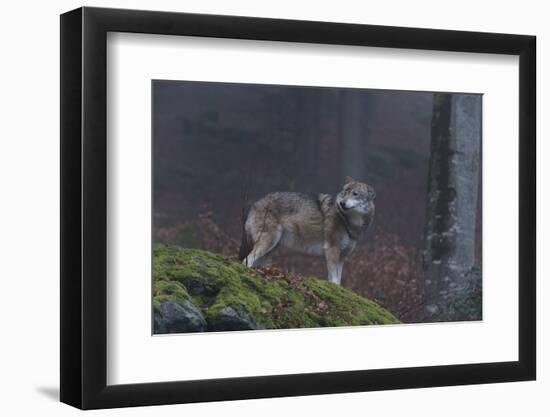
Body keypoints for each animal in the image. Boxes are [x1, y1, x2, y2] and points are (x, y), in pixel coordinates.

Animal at [239, 177, 378, 284]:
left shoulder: (342, 257)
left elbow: (338, 280)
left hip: (270, 250)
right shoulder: (332, 250)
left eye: (355, 194)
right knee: (247, 260)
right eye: (345, 192)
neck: (347, 221)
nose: (342, 203)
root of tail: (255, 204)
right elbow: (333, 280)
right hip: (268, 242)